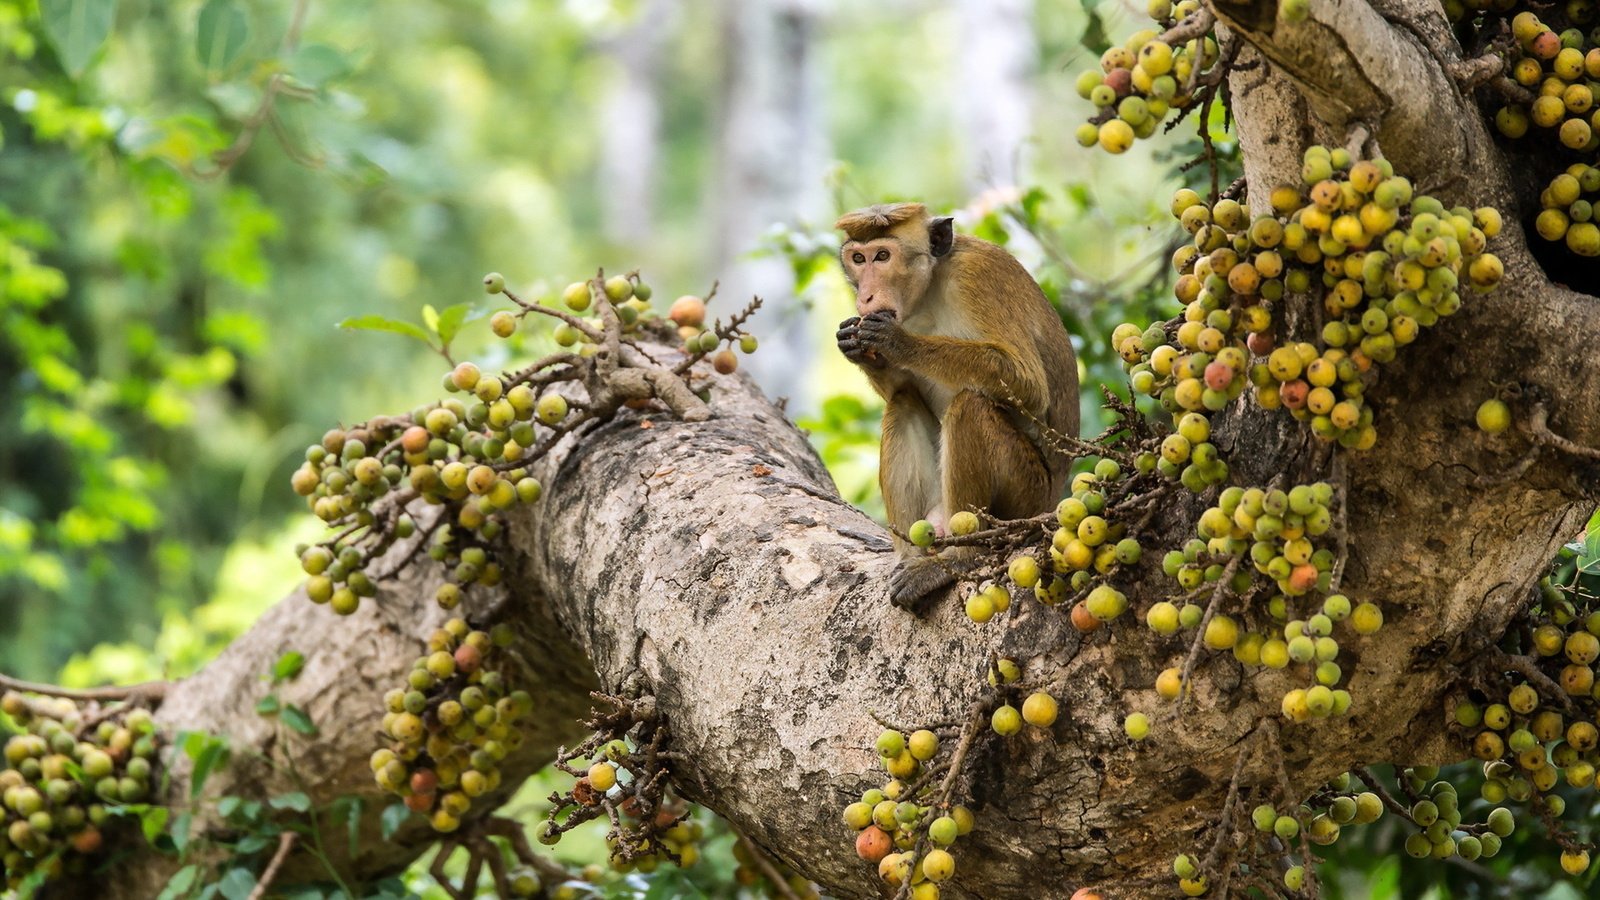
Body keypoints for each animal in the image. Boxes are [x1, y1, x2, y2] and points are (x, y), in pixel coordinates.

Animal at [832, 201, 1081, 608]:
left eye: (882, 256)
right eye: (858, 258)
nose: (865, 297)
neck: (930, 287)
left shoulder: (976, 278)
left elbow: (1028, 383)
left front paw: (899, 343)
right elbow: (901, 389)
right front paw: (856, 348)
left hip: (1026, 495)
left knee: (970, 407)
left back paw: (961, 559)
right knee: (903, 404)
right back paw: (911, 556)